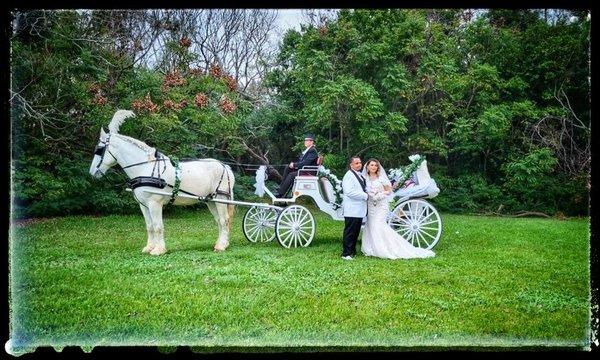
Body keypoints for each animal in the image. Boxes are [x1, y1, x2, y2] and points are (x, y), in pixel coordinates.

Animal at [89, 109, 234, 253]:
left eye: (99, 150)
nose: (92, 172)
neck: (145, 167)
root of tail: (224, 166)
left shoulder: (155, 203)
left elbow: (158, 226)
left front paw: (159, 250)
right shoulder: (143, 205)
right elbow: (150, 226)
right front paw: (149, 247)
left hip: (220, 198)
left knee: (224, 220)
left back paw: (221, 245)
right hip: (210, 200)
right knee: (218, 220)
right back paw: (220, 243)